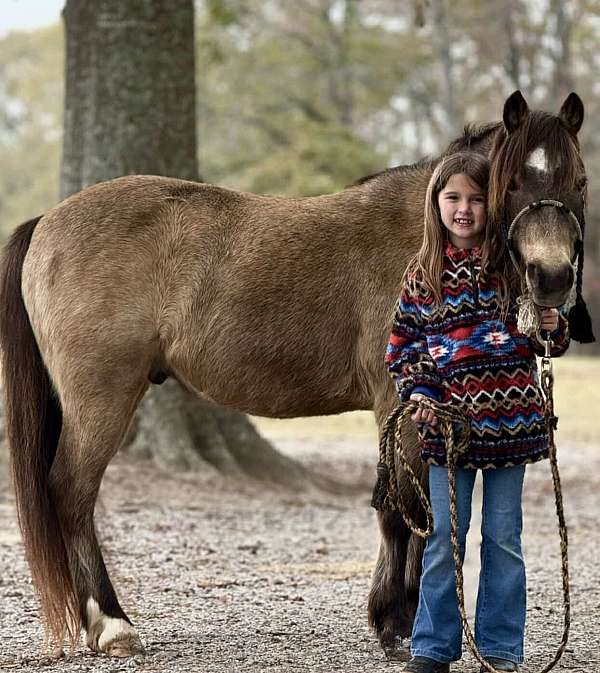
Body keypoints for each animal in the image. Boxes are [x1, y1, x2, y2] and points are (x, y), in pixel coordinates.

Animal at [0, 89, 592, 656]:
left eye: (580, 181)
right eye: (509, 183)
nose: (552, 278)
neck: (428, 238)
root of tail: (46, 221)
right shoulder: (399, 403)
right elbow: (402, 510)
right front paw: (398, 626)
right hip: (102, 398)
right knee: (72, 493)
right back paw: (111, 625)